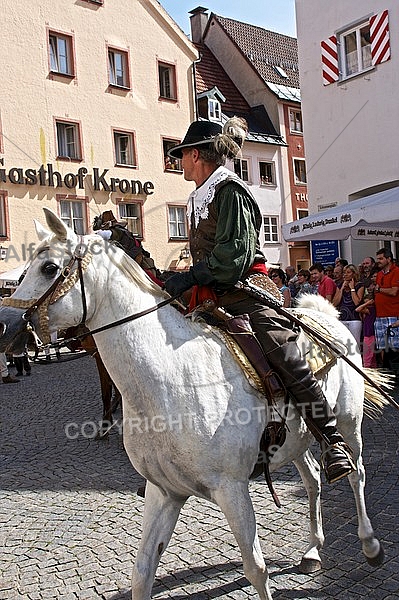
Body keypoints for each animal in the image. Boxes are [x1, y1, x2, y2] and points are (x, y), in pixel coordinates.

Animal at [0, 207, 388, 600]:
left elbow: (256, 569)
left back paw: (369, 542)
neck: (171, 380)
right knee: (312, 480)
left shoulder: (232, 489)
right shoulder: (164, 492)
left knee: (356, 473)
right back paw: (312, 550)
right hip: (297, 440)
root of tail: (328, 318)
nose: (4, 325)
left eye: (49, 267)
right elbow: (142, 573)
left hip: (348, 424)